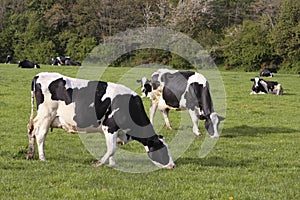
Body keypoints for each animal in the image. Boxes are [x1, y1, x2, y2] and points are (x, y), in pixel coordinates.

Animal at [27, 72, 176, 169]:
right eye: (161, 148)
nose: (173, 165)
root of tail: (39, 75)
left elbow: (112, 147)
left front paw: (112, 164)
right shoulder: (110, 126)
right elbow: (112, 149)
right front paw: (98, 163)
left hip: (42, 117)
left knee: (32, 129)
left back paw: (30, 154)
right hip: (47, 115)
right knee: (40, 135)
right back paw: (42, 158)